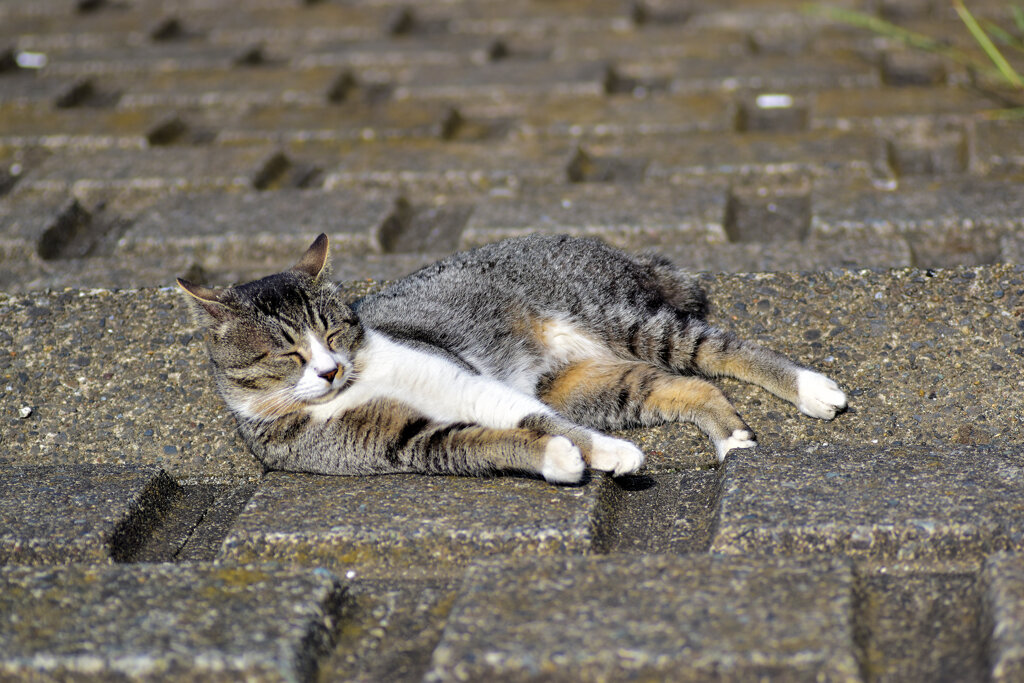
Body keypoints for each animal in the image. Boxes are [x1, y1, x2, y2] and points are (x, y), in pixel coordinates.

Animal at [178, 235, 847, 485]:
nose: (330, 369)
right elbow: (486, 441)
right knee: (684, 386)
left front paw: (608, 453)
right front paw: (560, 460)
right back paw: (730, 437)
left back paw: (813, 389)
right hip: (588, 381)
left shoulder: (459, 379)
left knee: (722, 349)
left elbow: (524, 416)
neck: (350, 391)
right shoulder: (402, 442)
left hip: (621, 318)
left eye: (335, 330)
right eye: (287, 353)